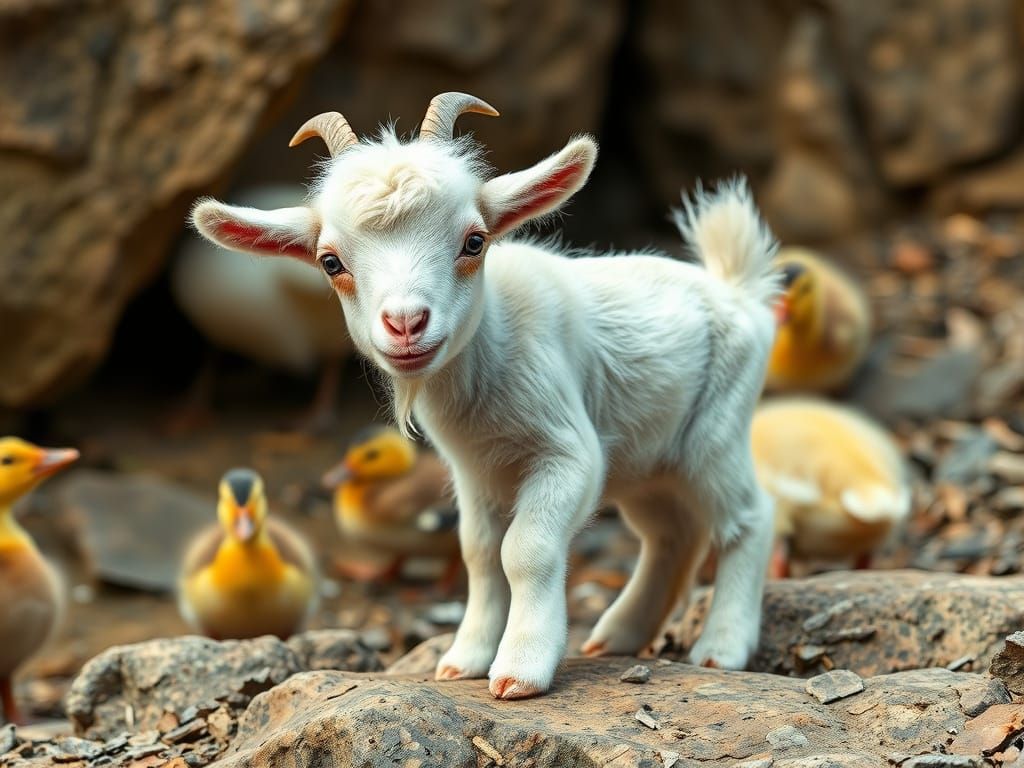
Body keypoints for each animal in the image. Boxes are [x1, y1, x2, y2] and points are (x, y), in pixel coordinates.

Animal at [192, 92, 779, 700]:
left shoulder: (568, 454)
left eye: (474, 241)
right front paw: (465, 657)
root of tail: (737, 289)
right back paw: (620, 633)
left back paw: (722, 646)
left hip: (717, 429)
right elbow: (477, 553)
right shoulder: (474, 472)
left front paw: (521, 669)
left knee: (750, 516)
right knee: (671, 533)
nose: (406, 323)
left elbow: (525, 550)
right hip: (650, 462)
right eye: (331, 262)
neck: (488, 364)